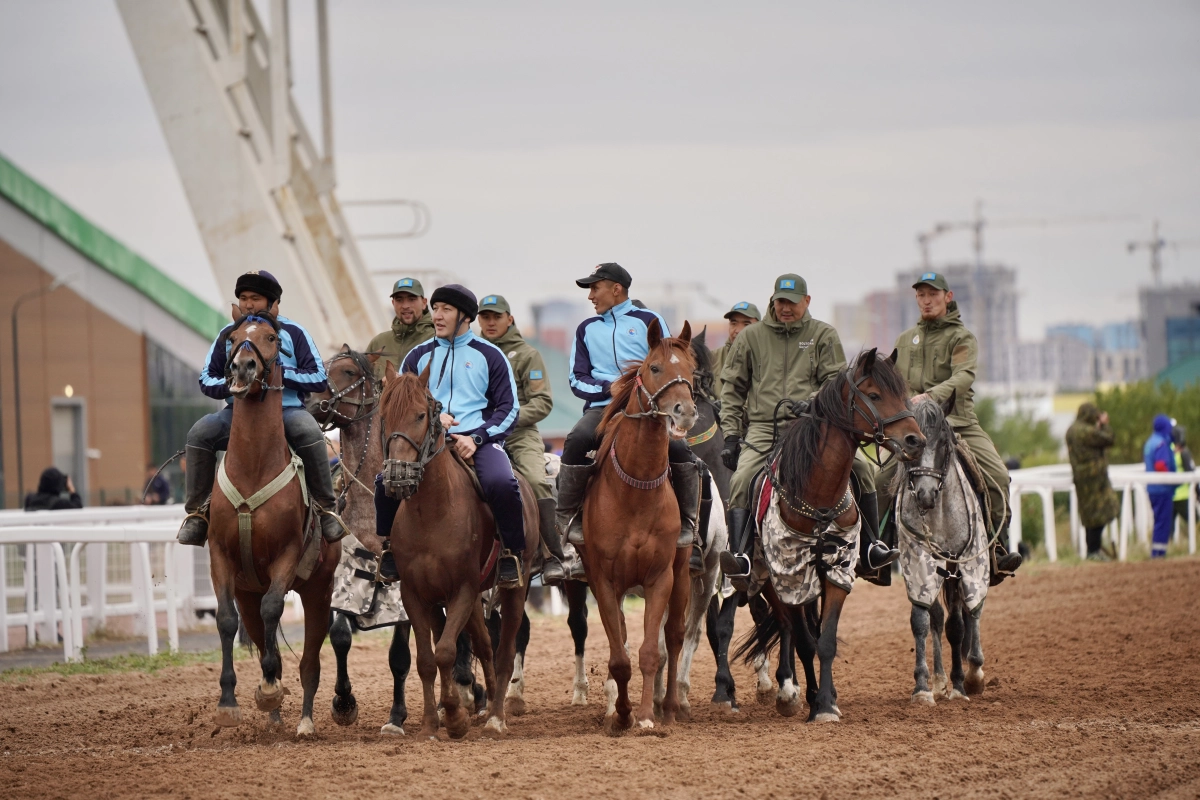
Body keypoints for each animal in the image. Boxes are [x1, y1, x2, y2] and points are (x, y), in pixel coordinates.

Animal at [206, 311, 338, 738]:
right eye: (232, 339)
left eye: (271, 337)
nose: (242, 366)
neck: (253, 469)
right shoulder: (220, 555)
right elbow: (226, 620)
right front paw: (228, 703)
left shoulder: (287, 554)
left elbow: (273, 609)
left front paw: (267, 687)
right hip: (248, 588)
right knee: (258, 630)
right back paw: (276, 714)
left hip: (318, 591)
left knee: (309, 660)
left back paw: (303, 720)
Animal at [379, 362, 540, 738]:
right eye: (383, 415)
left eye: (420, 415)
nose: (396, 476)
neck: (431, 513)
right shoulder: (415, 593)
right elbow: (428, 659)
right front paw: (430, 723)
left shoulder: (462, 589)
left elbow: (446, 652)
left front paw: (454, 718)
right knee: (483, 645)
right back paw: (487, 704)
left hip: (516, 587)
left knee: (504, 650)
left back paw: (496, 717)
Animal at [578, 316, 700, 734]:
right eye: (655, 368)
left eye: (692, 370)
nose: (684, 412)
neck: (636, 490)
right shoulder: (603, 580)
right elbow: (620, 656)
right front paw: (622, 713)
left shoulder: (660, 576)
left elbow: (650, 651)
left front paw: (646, 715)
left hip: (683, 574)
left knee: (674, 637)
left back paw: (671, 706)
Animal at [734, 347, 921, 724]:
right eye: (875, 395)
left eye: (903, 393)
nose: (915, 440)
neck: (817, 496)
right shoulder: (790, 576)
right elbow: (806, 642)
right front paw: (812, 701)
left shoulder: (838, 569)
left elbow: (826, 640)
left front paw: (826, 703)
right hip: (769, 580)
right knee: (788, 627)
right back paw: (789, 692)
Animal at [897, 391, 988, 705]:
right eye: (910, 445)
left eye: (944, 443)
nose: (925, 494)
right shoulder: (918, 561)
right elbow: (922, 620)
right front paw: (923, 686)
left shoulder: (962, 561)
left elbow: (959, 625)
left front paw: (962, 684)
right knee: (938, 617)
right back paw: (939, 680)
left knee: (971, 613)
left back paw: (971, 673)